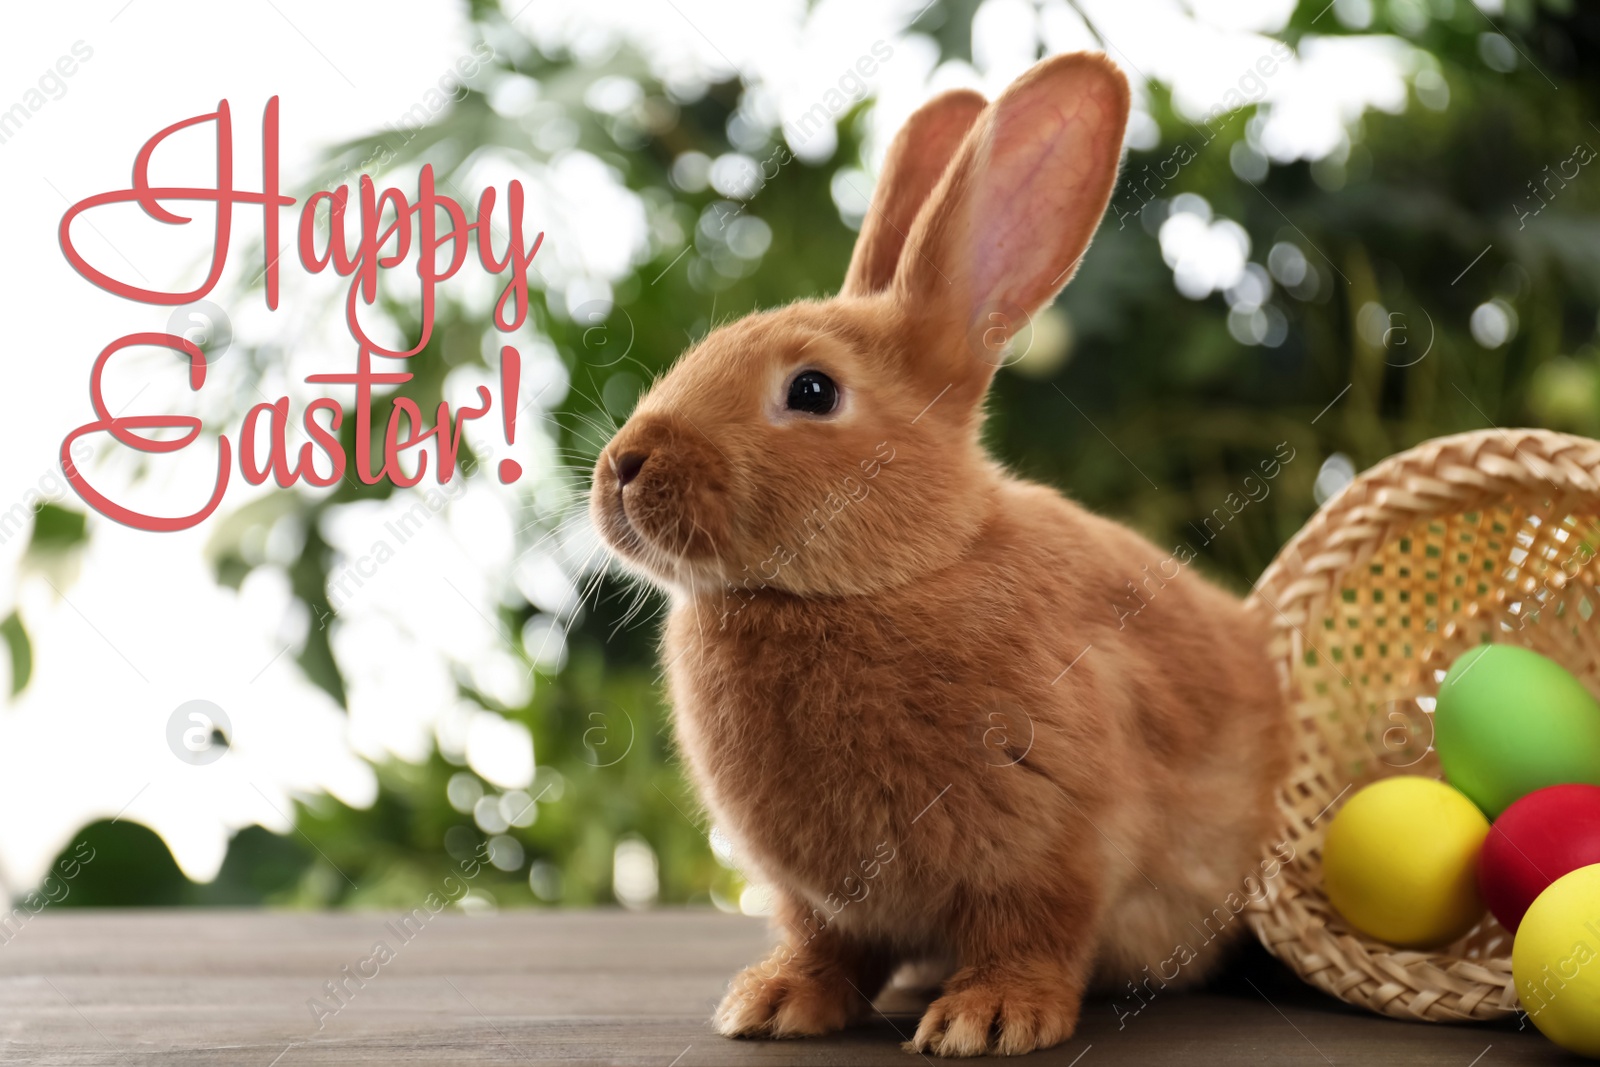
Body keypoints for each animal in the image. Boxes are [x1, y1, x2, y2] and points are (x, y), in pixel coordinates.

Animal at [588, 51, 1286, 1062]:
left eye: (812, 390)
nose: (623, 467)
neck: (894, 574)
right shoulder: (818, 898)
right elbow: (823, 943)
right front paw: (773, 1002)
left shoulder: (1055, 844)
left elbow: (1032, 932)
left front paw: (987, 1018)